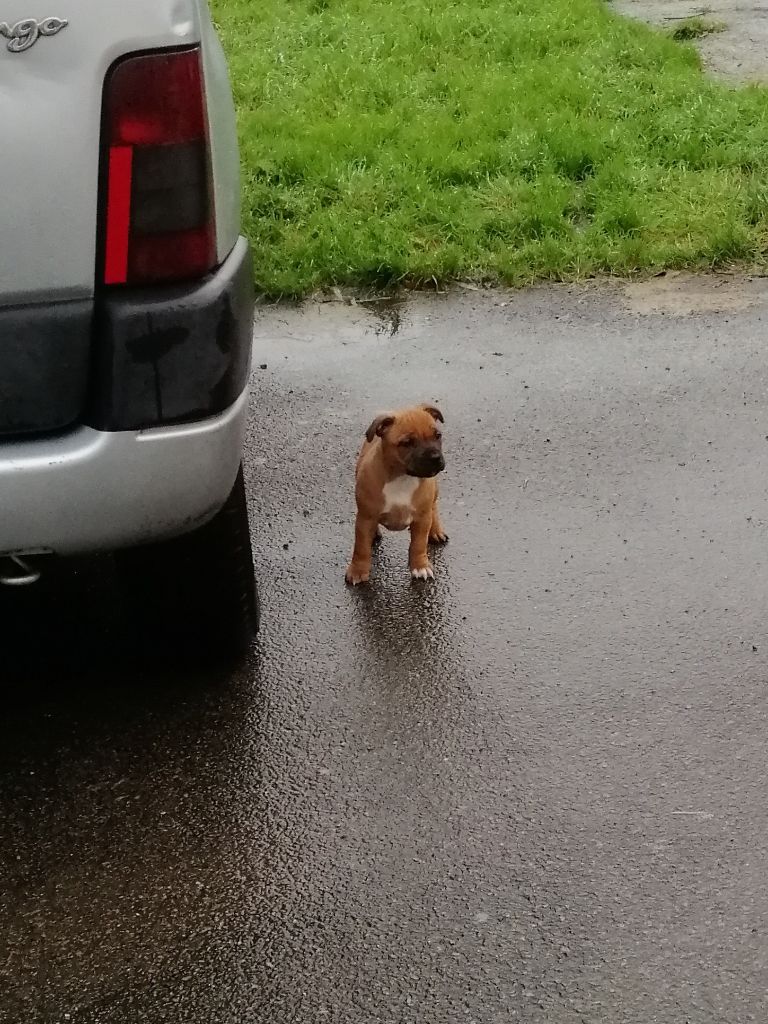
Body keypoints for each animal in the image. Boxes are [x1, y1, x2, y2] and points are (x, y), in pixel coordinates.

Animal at [345, 404, 448, 585]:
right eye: (407, 443)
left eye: (437, 436)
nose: (435, 457)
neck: (402, 477)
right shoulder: (365, 518)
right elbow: (361, 547)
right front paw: (358, 571)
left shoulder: (421, 519)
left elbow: (418, 545)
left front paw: (420, 566)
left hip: (433, 492)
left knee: (433, 507)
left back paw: (435, 531)